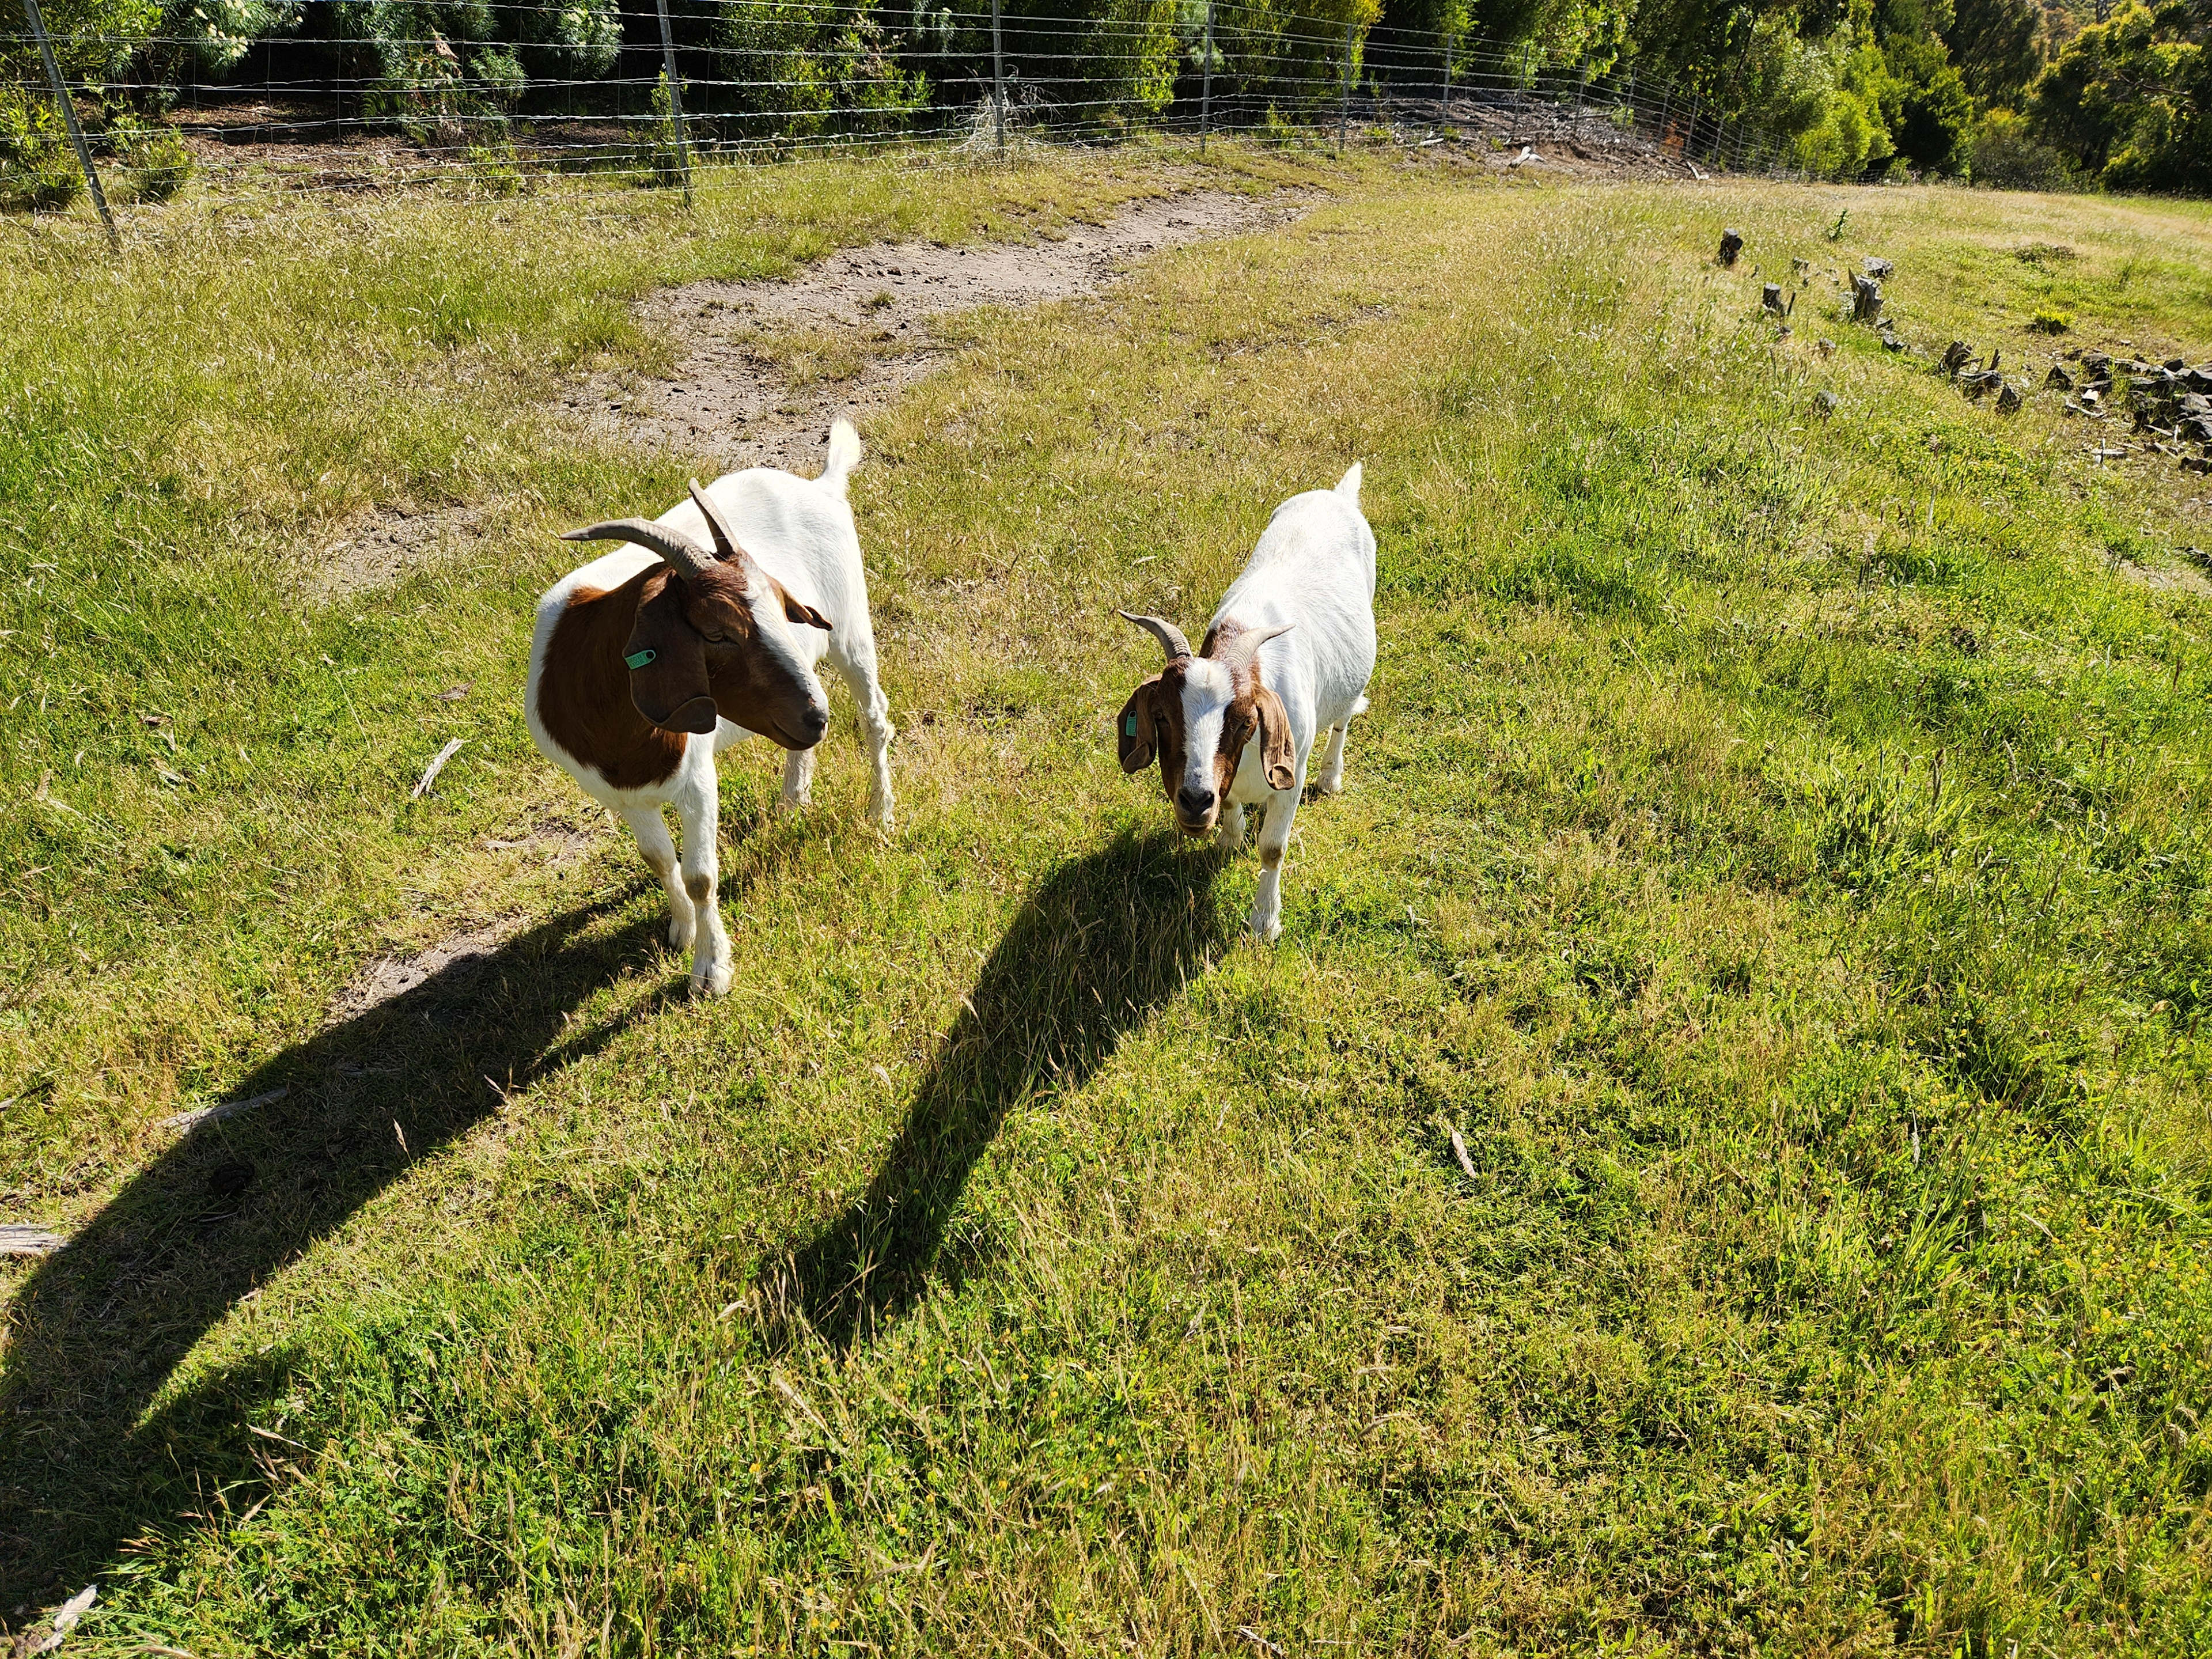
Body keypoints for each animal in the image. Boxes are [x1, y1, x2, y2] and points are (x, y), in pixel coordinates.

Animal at [526, 420, 894, 995]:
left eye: (782, 608)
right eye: (718, 633)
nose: (815, 716)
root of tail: (824, 486)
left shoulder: (698, 780)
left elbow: (701, 875)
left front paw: (711, 969)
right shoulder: (618, 796)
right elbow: (658, 860)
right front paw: (680, 931)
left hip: (851, 631)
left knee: (875, 718)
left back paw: (880, 816)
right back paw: (794, 800)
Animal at [1114, 463, 1375, 941]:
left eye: (1242, 720)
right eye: (1162, 716)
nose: (1195, 800)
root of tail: (1338, 495)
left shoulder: (1291, 773)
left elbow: (1272, 849)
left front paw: (1265, 923)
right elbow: (1232, 803)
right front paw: (1229, 839)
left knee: (1343, 720)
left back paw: (1332, 776)